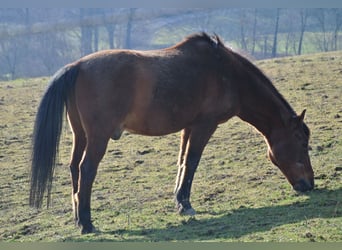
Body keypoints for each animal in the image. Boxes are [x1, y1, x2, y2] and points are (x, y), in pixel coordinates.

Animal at [30, 32, 316, 233]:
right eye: (302, 143)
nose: (310, 184)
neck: (227, 72)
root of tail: (77, 66)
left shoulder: (188, 127)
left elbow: (182, 163)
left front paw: (180, 201)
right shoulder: (204, 125)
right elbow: (192, 162)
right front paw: (186, 204)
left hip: (80, 135)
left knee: (74, 168)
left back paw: (79, 218)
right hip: (97, 138)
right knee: (87, 170)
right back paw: (87, 223)